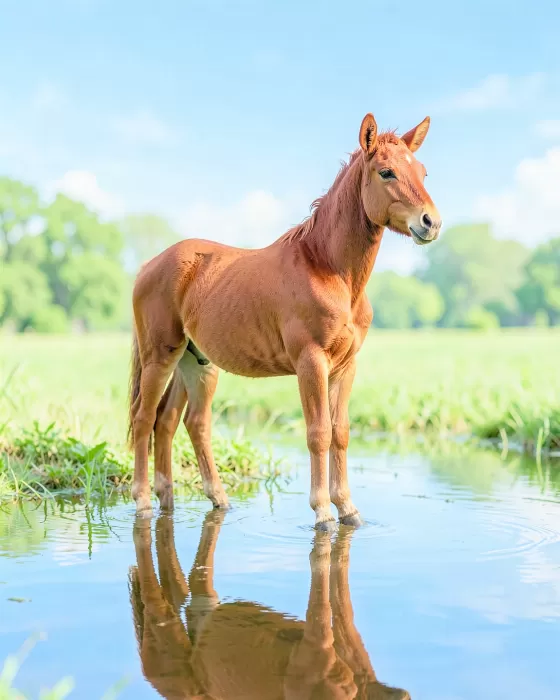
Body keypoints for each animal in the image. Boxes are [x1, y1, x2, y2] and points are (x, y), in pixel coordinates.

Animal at [128, 111, 441, 529]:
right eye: (386, 172)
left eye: (422, 172)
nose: (431, 222)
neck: (328, 268)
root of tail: (150, 265)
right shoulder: (311, 362)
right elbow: (319, 432)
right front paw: (323, 512)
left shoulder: (346, 366)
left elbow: (341, 432)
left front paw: (349, 510)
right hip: (159, 356)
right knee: (145, 418)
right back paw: (144, 501)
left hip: (195, 362)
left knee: (179, 422)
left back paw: (194, 499)